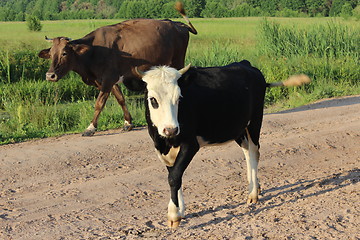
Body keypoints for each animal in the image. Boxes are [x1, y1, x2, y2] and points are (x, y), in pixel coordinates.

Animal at [38, 1, 197, 136]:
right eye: (51, 53)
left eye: (64, 53)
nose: (50, 75)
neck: (93, 51)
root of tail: (176, 23)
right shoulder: (109, 80)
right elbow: (120, 99)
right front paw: (128, 123)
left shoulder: (108, 78)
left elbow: (99, 103)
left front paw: (91, 127)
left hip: (177, 63)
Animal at [136, 60, 310, 227]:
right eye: (153, 100)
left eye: (179, 98)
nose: (171, 129)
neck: (165, 140)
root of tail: (246, 64)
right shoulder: (161, 148)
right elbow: (174, 174)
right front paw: (180, 209)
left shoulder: (190, 144)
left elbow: (174, 177)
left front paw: (173, 215)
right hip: (239, 128)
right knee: (247, 152)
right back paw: (254, 185)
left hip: (255, 120)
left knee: (254, 152)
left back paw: (253, 193)